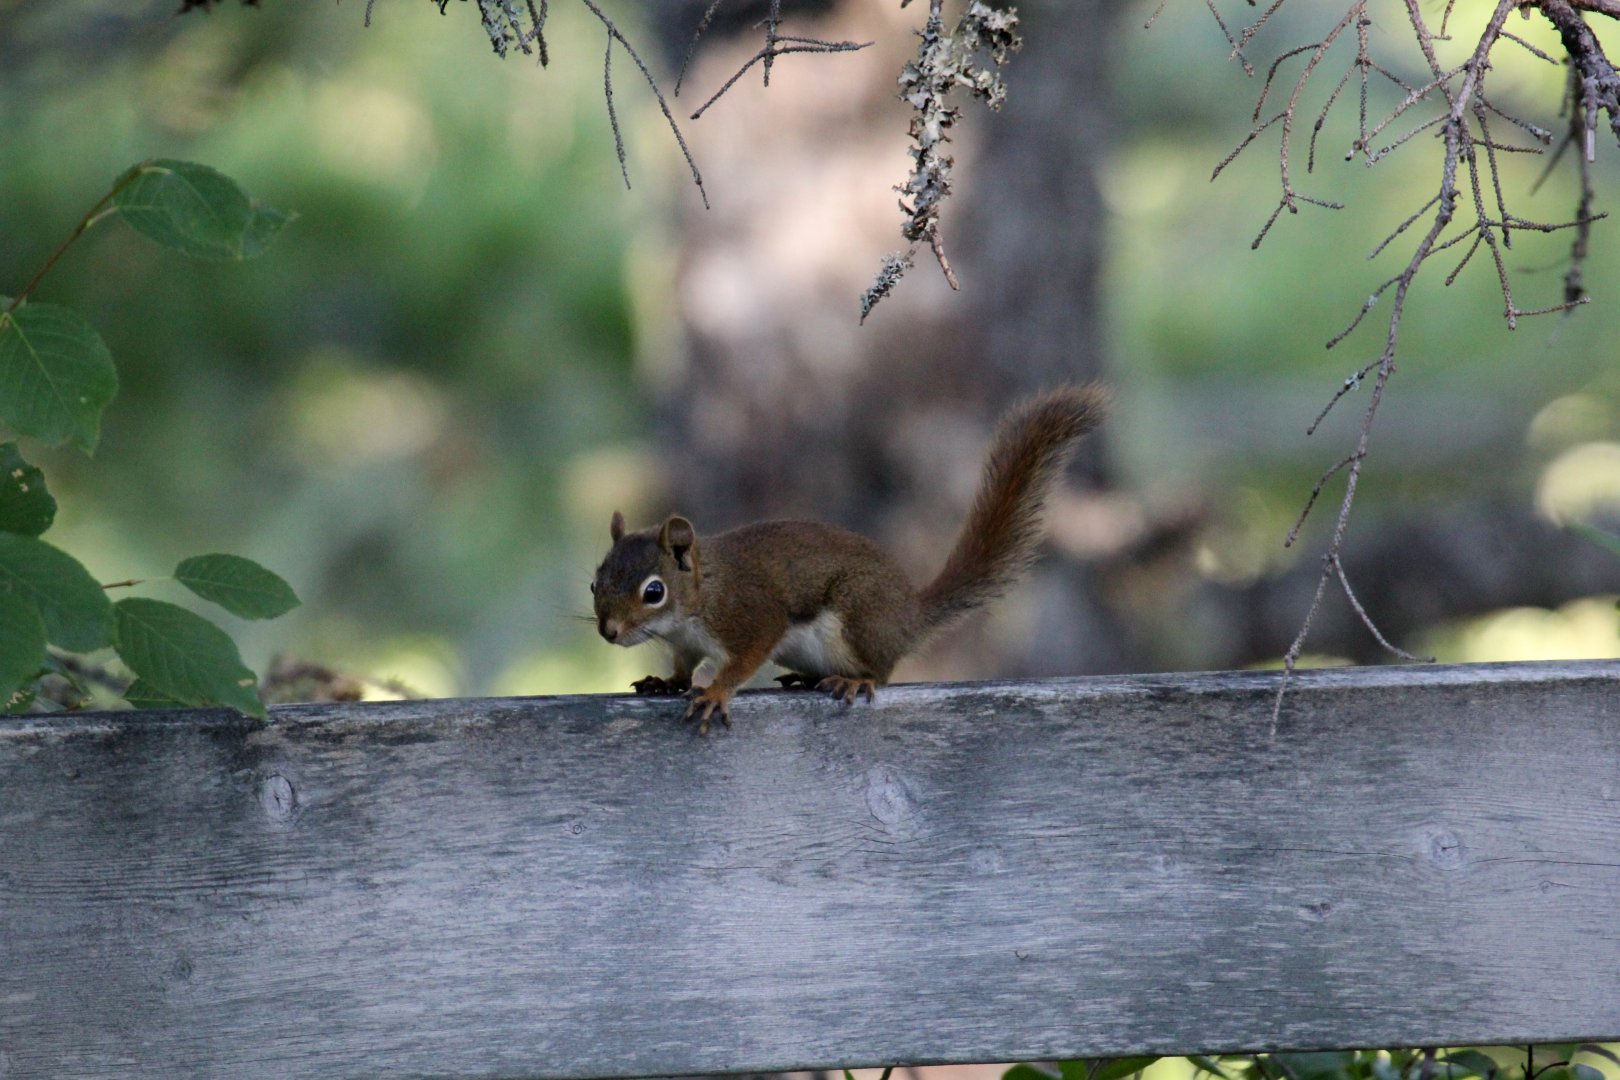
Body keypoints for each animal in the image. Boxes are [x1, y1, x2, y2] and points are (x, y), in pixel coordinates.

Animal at [590, 384, 1109, 733]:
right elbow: (683, 667)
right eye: (595, 583)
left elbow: (745, 657)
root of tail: (909, 616)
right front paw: (665, 681)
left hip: (859, 617)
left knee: (882, 670)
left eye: (653, 591)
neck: (698, 596)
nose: (608, 632)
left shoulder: (749, 615)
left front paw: (715, 692)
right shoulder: (685, 642)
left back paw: (855, 682)